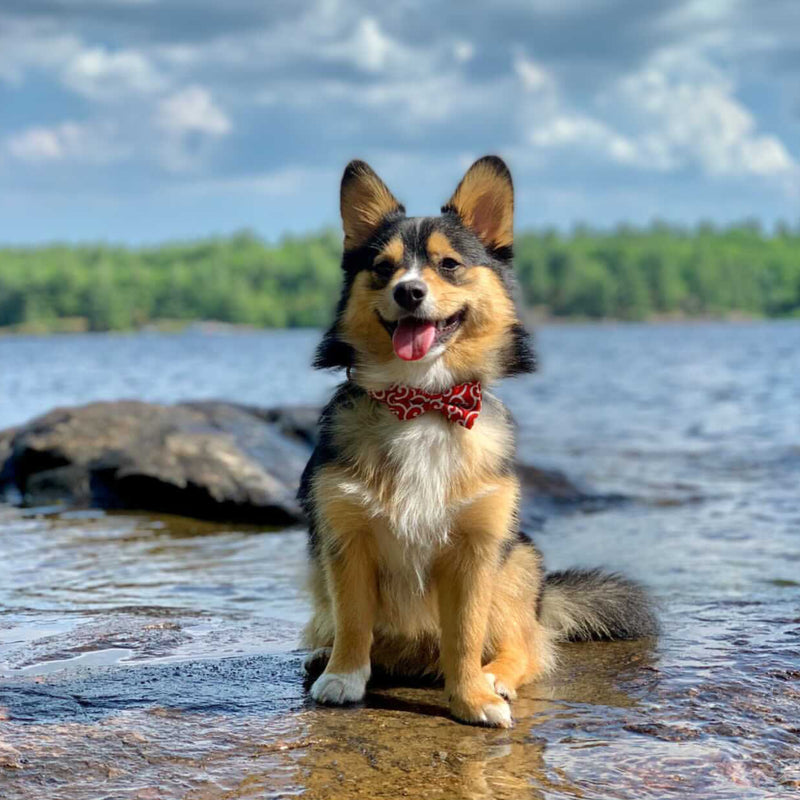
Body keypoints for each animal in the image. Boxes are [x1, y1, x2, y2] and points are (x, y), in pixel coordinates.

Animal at [296, 155, 652, 724]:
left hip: (518, 561)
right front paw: (344, 676)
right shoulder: (345, 539)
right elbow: (353, 620)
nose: (408, 292)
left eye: (449, 265)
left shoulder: (476, 550)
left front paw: (472, 698)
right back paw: (322, 655)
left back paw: (497, 676)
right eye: (383, 269)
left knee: (525, 645)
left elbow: (464, 634)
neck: (423, 402)